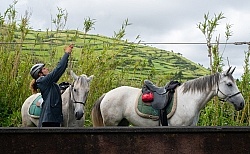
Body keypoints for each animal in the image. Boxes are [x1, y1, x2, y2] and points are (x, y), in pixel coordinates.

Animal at [92, 67, 244, 126]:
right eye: (229, 84)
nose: (241, 103)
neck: (189, 100)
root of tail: (106, 95)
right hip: (111, 123)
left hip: (122, 122)